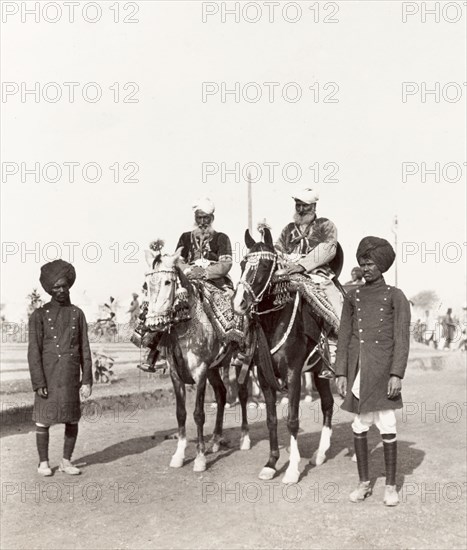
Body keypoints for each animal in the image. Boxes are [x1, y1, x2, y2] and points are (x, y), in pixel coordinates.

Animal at [232, 231, 334, 486]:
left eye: (264, 265)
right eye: (242, 265)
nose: (238, 303)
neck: (274, 321)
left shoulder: (293, 375)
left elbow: (292, 420)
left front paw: (292, 470)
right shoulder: (265, 378)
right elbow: (271, 420)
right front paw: (271, 464)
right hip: (320, 372)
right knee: (328, 404)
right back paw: (319, 454)